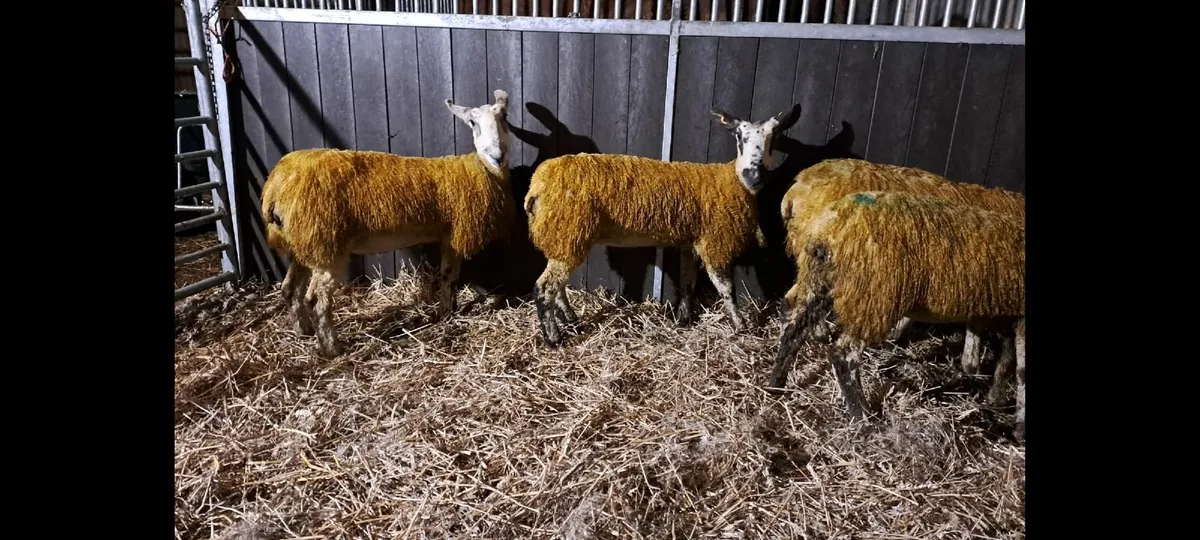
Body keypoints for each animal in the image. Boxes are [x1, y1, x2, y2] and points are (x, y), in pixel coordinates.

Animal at [260, 89, 516, 357]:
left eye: (504, 116)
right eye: (472, 122)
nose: (498, 156)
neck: (484, 170)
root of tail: (276, 186)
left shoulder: (448, 235)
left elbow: (449, 276)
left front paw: (448, 311)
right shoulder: (455, 234)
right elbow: (449, 276)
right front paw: (445, 313)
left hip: (304, 242)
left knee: (289, 289)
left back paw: (304, 331)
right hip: (326, 245)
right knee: (317, 299)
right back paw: (333, 348)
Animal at [523, 108, 795, 347]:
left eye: (775, 137)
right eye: (739, 136)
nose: (754, 175)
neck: (733, 179)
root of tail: (536, 186)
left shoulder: (691, 241)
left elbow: (687, 281)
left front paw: (684, 319)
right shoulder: (714, 241)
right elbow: (726, 288)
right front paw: (741, 325)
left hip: (562, 235)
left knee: (557, 286)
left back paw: (571, 320)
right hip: (568, 231)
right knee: (544, 287)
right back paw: (554, 338)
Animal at [768, 191, 1026, 440]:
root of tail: (832, 227)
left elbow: (1007, 355)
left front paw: (995, 396)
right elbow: (1021, 369)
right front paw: (1018, 427)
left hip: (821, 281)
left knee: (794, 326)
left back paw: (776, 385)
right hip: (872, 296)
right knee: (844, 355)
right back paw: (863, 419)